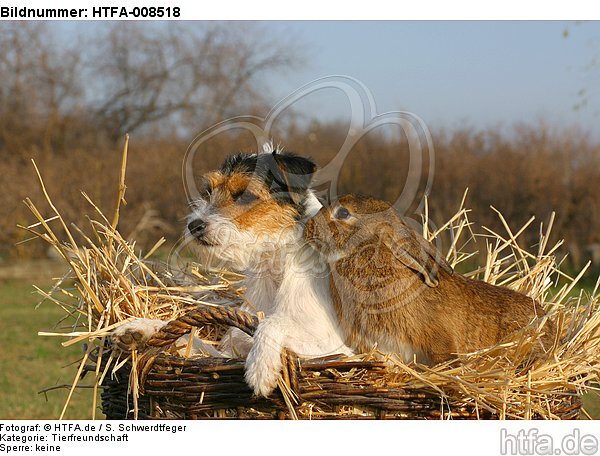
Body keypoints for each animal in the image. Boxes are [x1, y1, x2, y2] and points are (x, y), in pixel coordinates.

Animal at [111, 146, 352, 396]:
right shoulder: (229, 352)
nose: (194, 225)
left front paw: (260, 367)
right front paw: (143, 328)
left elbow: (272, 322)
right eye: (209, 191)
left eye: (245, 194)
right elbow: (191, 339)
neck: (275, 266)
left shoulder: (337, 350)